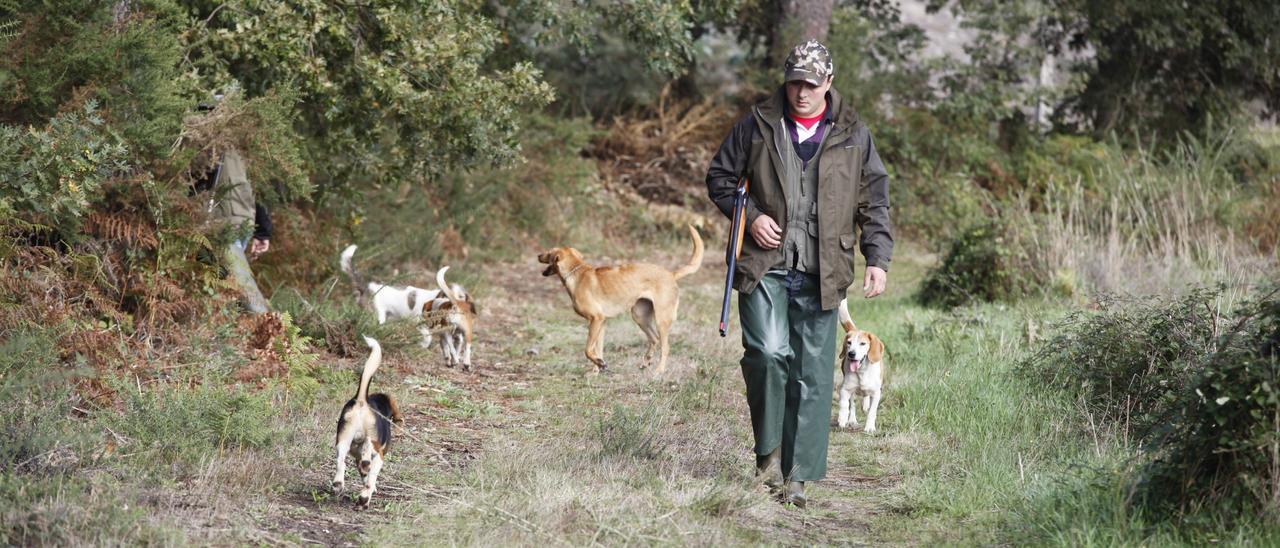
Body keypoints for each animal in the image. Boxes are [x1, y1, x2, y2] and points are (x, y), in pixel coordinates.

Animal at [537, 225, 706, 373]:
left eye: (548, 252)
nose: (538, 255)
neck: (576, 273)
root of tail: (671, 274)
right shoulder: (601, 323)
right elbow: (597, 349)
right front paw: (597, 369)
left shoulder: (596, 319)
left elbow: (587, 349)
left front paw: (599, 365)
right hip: (640, 316)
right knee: (654, 339)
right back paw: (646, 362)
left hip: (661, 320)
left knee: (665, 347)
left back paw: (659, 370)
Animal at [834, 299, 885, 432]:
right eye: (849, 343)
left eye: (863, 343)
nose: (851, 354)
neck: (862, 371)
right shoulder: (845, 389)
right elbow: (845, 404)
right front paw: (842, 419)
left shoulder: (876, 393)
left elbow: (872, 412)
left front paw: (870, 427)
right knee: (852, 404)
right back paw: (851, 419)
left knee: (866, 397)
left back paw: (865, 404)